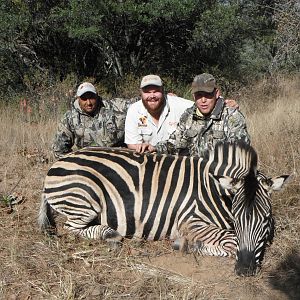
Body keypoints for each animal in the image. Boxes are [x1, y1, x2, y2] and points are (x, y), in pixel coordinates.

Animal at [37, 142, 288, 276]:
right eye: (236, 218)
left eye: (266, 219)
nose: (245, 270)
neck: (215, 191)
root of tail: (60, 160)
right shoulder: (189, 220)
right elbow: (231, 239)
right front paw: (190, 245)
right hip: (83, 198)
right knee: (70, 228)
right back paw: (109, 234)